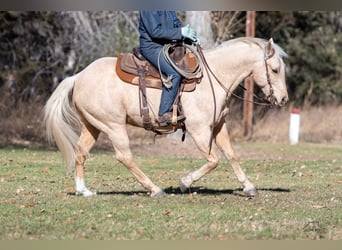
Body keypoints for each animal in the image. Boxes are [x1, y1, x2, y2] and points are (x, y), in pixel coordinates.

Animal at [43, 37, 288, 197]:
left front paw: (248, 186)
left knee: (80, 152)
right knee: (124, 157)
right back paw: (154, 189)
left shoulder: (219, 126)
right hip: (113, 126)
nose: (284, 99)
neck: (213, 77)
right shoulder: (199, 130)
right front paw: (184, 183)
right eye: (275, 69)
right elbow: (214, 160)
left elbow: (231, 155)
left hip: (92, 125)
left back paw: (83, 190)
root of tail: (77, 77)